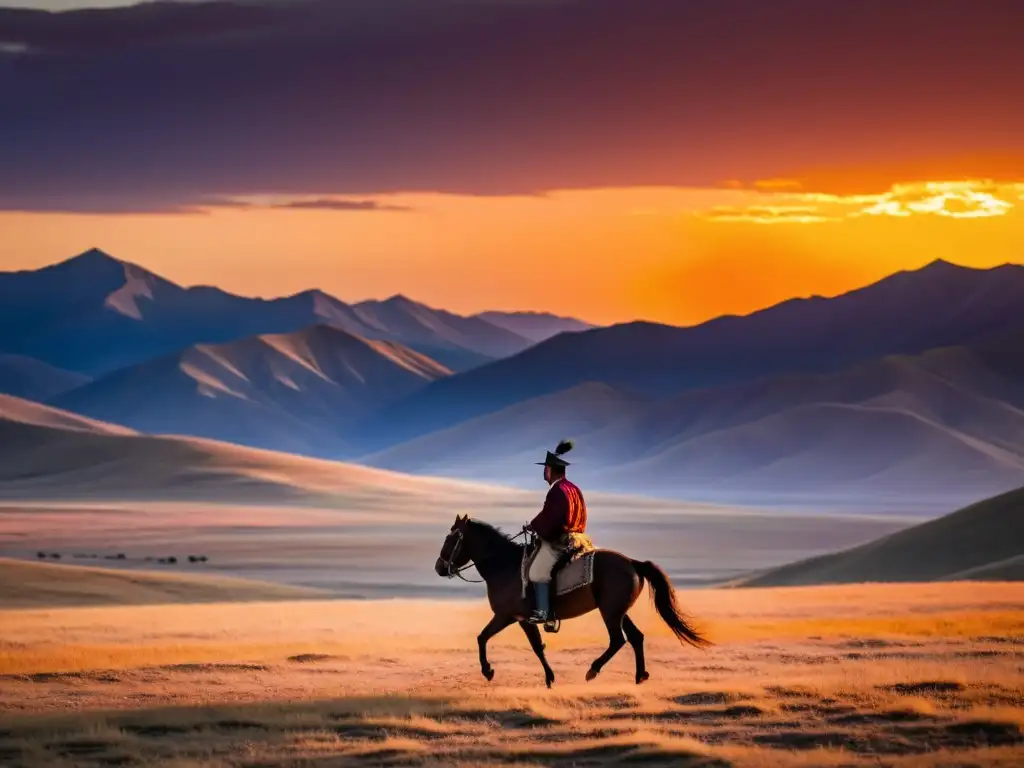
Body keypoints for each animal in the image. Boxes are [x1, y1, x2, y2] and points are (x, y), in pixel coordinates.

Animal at [434, 518, 712, 692]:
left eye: (450, 539)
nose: (439, 568)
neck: (504, 566)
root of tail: (632, 562)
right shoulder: (513, 618)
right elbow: (501, 640)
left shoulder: (512, 617)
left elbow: (501, 641)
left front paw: (490, 671)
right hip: (620, 611)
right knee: (636, 637)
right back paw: (639, 676)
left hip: (610, 612)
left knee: (618, 640)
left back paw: (593, 670)